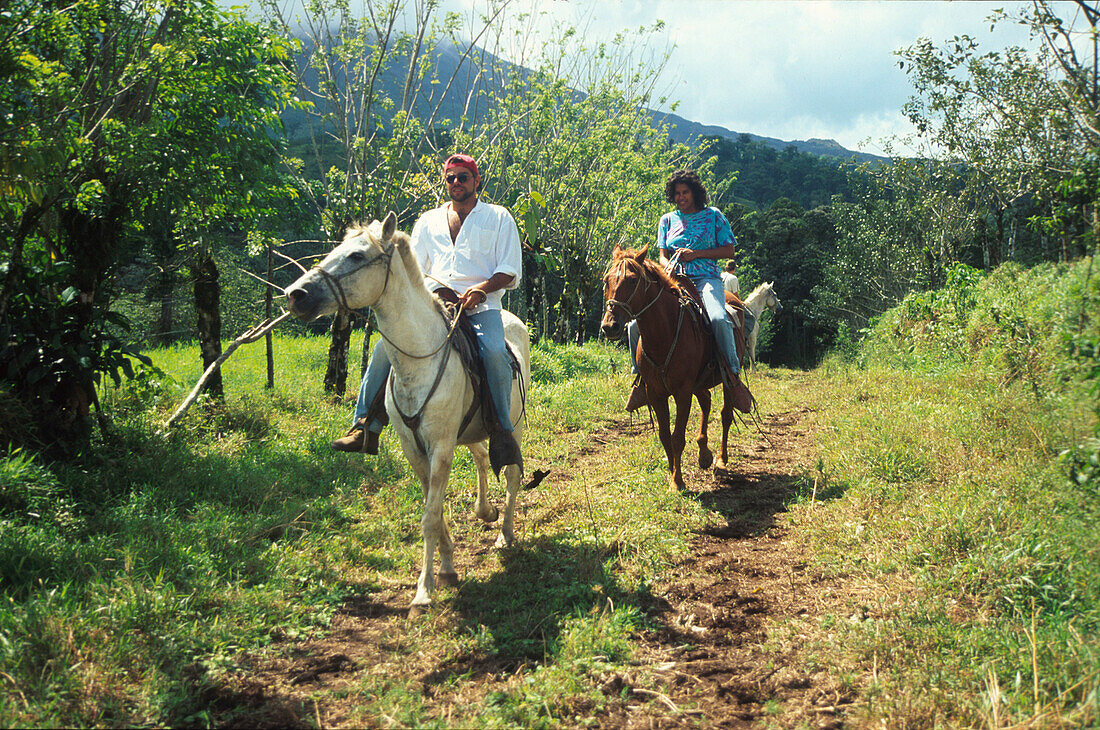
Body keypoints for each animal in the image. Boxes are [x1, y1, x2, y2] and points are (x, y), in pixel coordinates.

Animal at [286, 212, 530, 615]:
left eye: (356, 255)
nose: (295, 294)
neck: (420, 357)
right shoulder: (414, 448)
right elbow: (435, 508)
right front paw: (446, 568)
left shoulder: (441, 446)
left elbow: (430, 516)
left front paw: (424, 591)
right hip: (470, 432)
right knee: (481, 456)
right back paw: (485, 511)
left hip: (513, 427)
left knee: (510, 474)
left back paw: (504, 533)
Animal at [602, 245, 748, 490]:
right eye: (606, 281)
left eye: (632, 280)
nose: (609, 326)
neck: (664, 333)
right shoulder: (655, 393)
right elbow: (664, 435)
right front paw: (672, 473)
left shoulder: (682, 393)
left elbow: (677, 437)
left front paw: (677, 482)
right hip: (699, 382)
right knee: (706, 400)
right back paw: (704, 454)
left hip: (727, 376)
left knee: (726, 414)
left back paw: (720, 460)